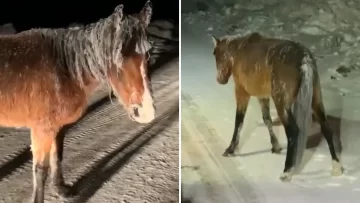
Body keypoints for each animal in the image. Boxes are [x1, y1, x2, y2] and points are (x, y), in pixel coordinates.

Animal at [0, 1, 154, 203]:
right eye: (120, 58)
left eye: (148, 54)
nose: (146, 112)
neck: (64, 67)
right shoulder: (42, 130)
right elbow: (40, 171)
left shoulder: (57, 127)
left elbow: (57, 155)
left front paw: (61, 189)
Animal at [211, 32, 344, 182]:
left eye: (215, 53)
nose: (220, 79)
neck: (238, 52)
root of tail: (304, 60)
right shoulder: (262, 96)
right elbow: (267, 119)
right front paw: (275, 147)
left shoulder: (242, 93)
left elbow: (239, 121)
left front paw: (230, 149)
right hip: (316, 100)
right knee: (326, 129)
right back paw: (336, 167)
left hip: (281, 103)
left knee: (293, 131)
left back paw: (286, 171)